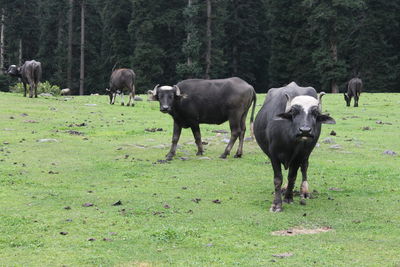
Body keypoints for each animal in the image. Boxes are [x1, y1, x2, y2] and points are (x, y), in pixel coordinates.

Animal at [255, 82, 336, 214]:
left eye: (315, 113)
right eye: (294, 112)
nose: (305, 131)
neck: (289, 139)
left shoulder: (299, 155)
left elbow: (292, 176)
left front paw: (288, 198)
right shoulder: (273, 155)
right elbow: (278, 179)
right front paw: (277, 204)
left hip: (307, 152)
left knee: (304, 167)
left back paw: (304, 191)